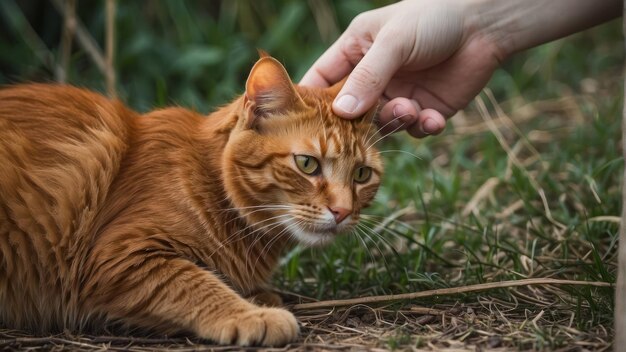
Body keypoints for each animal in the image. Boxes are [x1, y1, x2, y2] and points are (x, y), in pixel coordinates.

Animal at [0, 56, 380, 346]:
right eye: (307, 164)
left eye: (362, 174)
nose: (343, 211)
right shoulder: (118, 256)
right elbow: (193, 282)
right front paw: (252, 314)